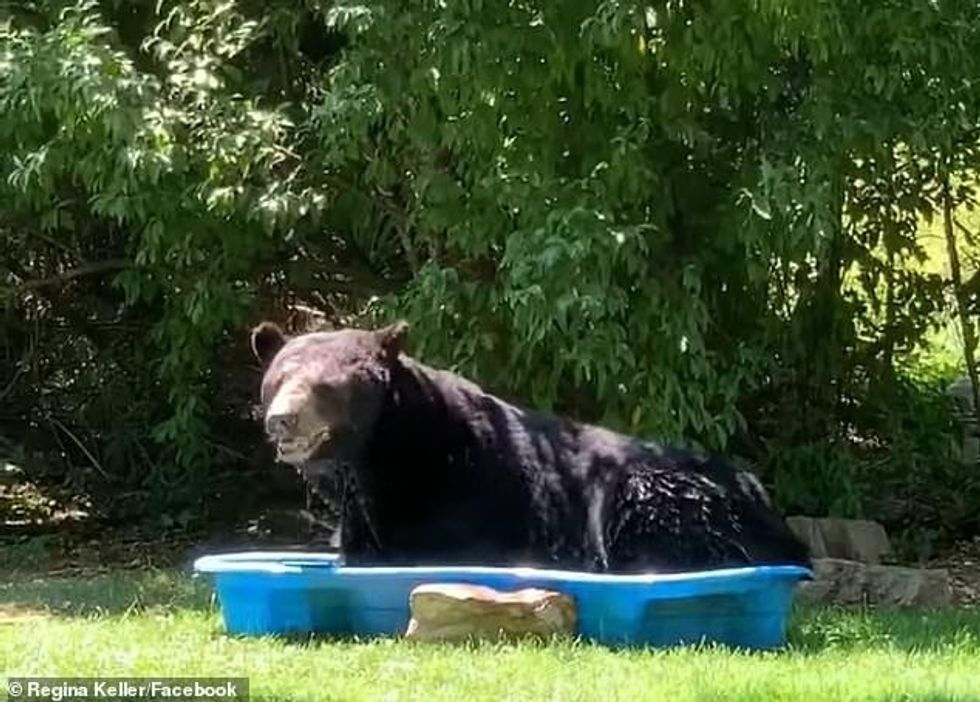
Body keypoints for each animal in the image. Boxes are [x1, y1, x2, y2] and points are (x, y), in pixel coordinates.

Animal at [249, 320, 810, 574]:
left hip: (659, 489)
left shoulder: (467, 490)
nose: (282, 421)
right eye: (278, 379)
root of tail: (767, 500)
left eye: (325, 386)